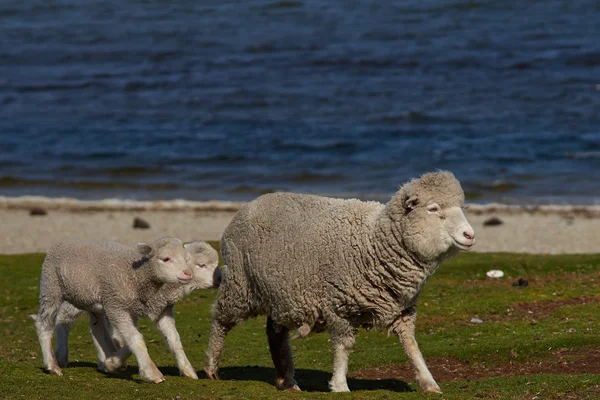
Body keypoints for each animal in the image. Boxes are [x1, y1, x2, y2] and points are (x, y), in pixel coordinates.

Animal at [204, 170, 476, 392]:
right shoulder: (338, 306)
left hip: (280, 293)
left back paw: (287, 380)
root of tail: (250, 204)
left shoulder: (402, 310)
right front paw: (340, 385)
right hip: (239, 284)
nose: (470, 235)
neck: (375, 241)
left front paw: (429, 382)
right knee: (220, 318)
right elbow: (343, 347)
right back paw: (211, 366)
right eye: (433, 209)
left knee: (275, 333)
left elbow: (411, 345)